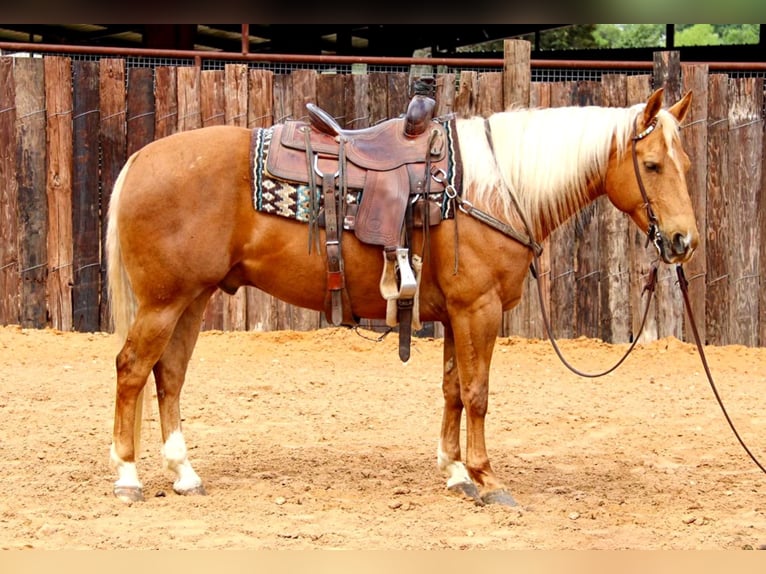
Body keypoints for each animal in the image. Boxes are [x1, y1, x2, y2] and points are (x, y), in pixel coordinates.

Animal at [108, 88, 704, 506]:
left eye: (686, 165)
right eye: (652, 165)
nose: (683, 241)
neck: (491, 188)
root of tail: (140, 160)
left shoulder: (457, 313)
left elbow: (453, 391)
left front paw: (456, 472)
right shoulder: (479, 309)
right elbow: (478, 393)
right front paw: (488, 479)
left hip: (192, 298)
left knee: (170, 375)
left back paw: (184, 474)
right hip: (163, 302)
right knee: (133, 369)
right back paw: (128, 476)